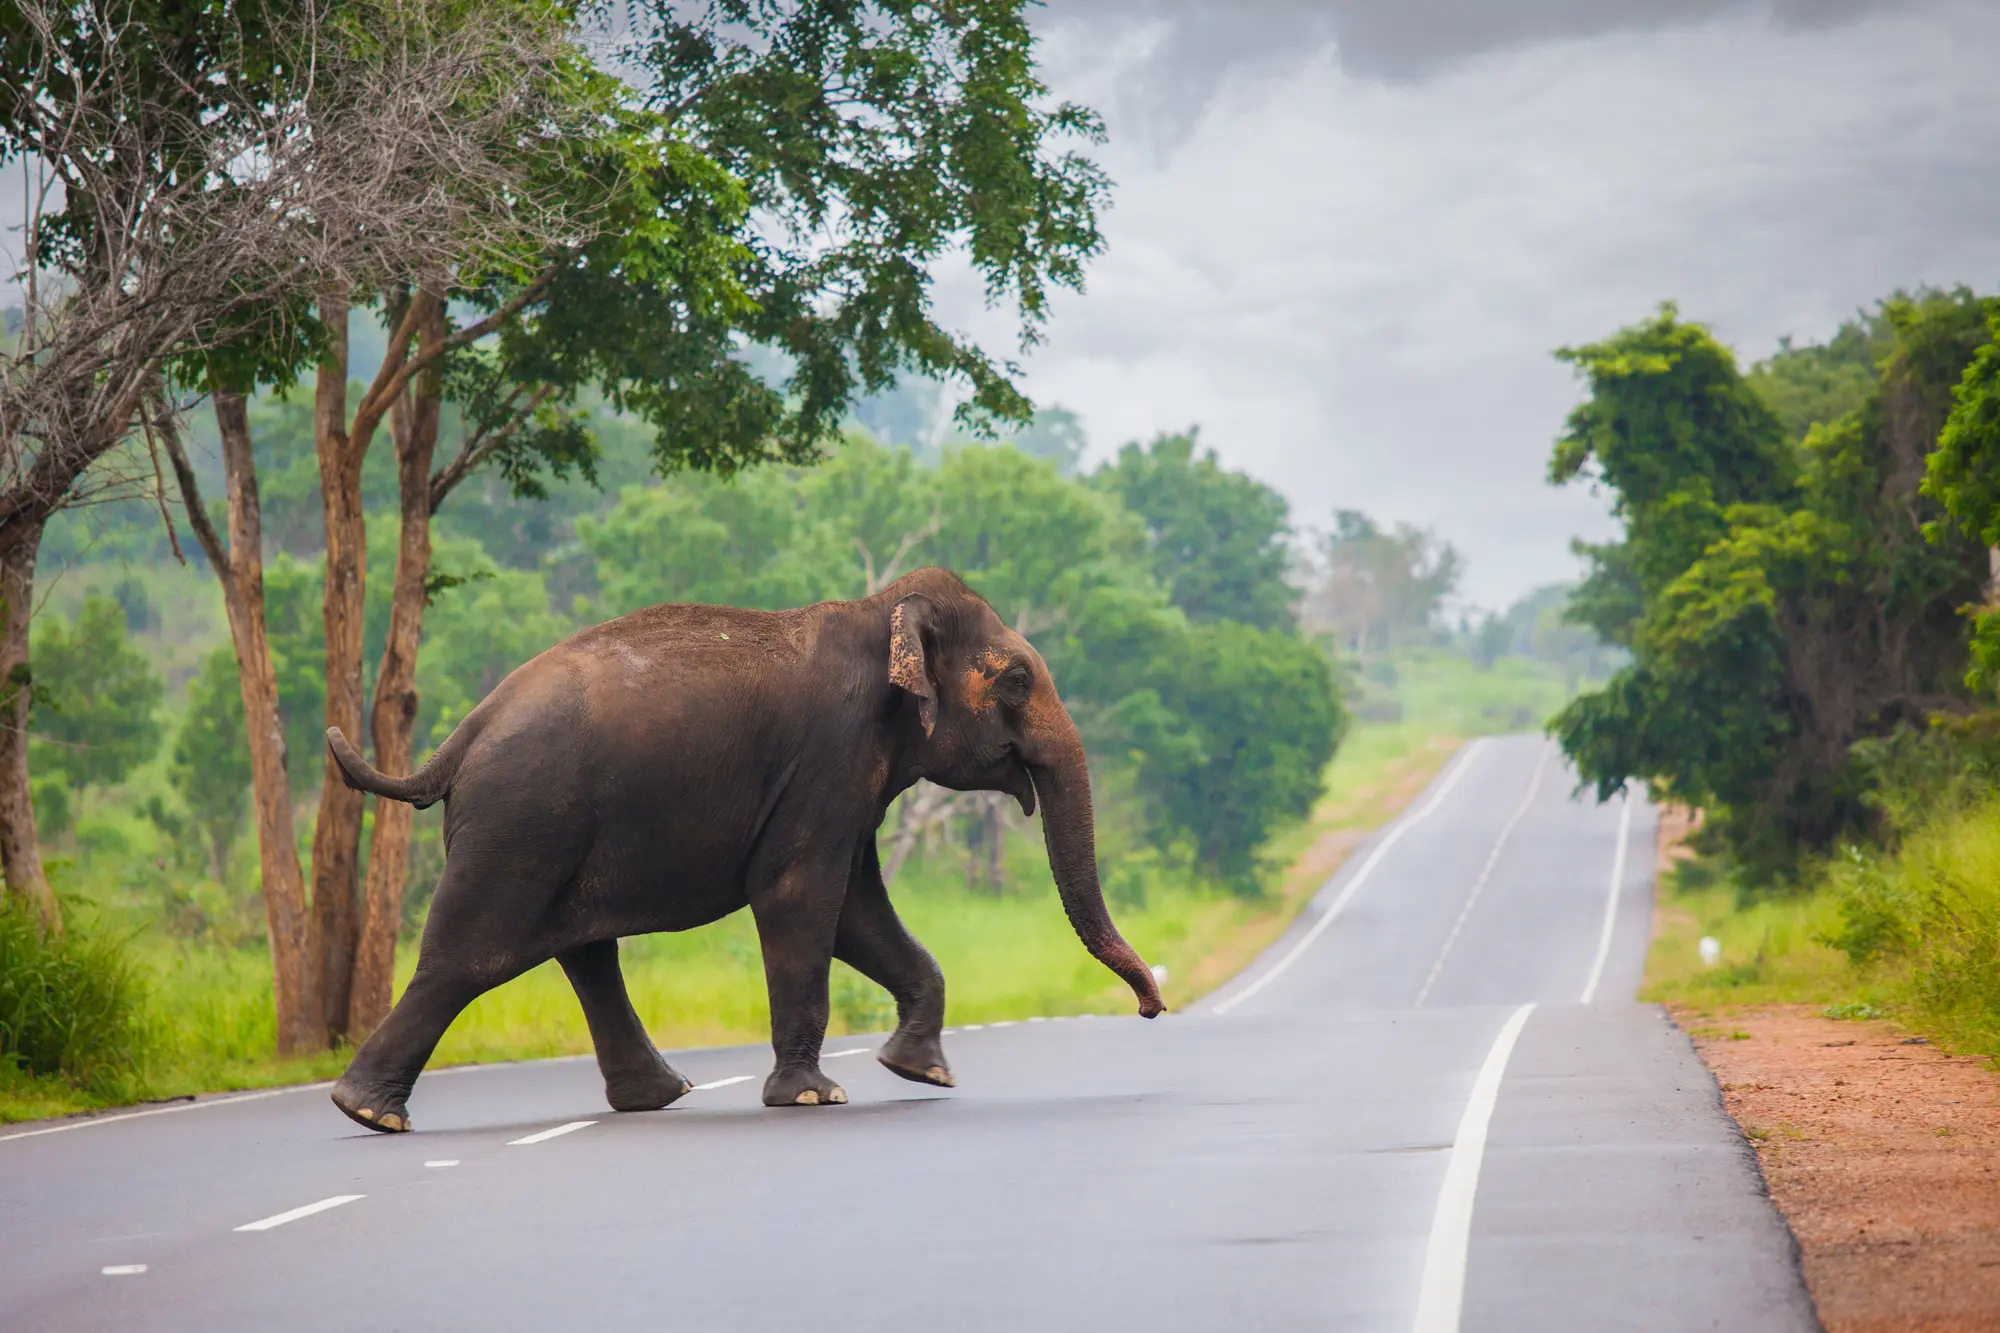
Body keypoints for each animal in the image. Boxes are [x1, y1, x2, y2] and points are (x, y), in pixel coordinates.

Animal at [320, 564, 1168, 1128]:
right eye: (1018, 680)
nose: (1153, 1005)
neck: (879, 612)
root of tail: (464, 733)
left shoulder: (846, 781)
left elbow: (856, 913)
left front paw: (919, 1069)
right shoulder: (830, 756)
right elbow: (801, 897)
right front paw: (815, 1096)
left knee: (585, 952)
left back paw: (658, 1097)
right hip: (522, 819)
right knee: (474, 954)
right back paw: (369, 1113)